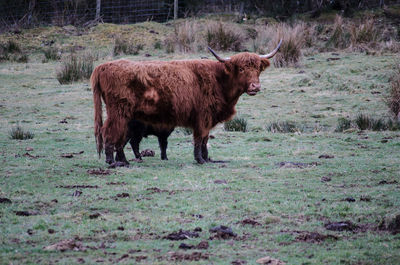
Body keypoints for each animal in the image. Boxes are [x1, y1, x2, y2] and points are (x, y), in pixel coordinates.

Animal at [92, 40, 282, 165]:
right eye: (241, 69)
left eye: (258, 69)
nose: (255, 86)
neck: (219, 81)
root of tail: (103, 66)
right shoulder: (202, 117)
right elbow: (199, 138)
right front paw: (200, 159)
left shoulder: (208, 118)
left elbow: (205, 139)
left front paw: (207, 158)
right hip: (118, 111)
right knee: (109, 132)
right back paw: (113, 162)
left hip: (125, 115)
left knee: (120, 136)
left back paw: (123, 161)